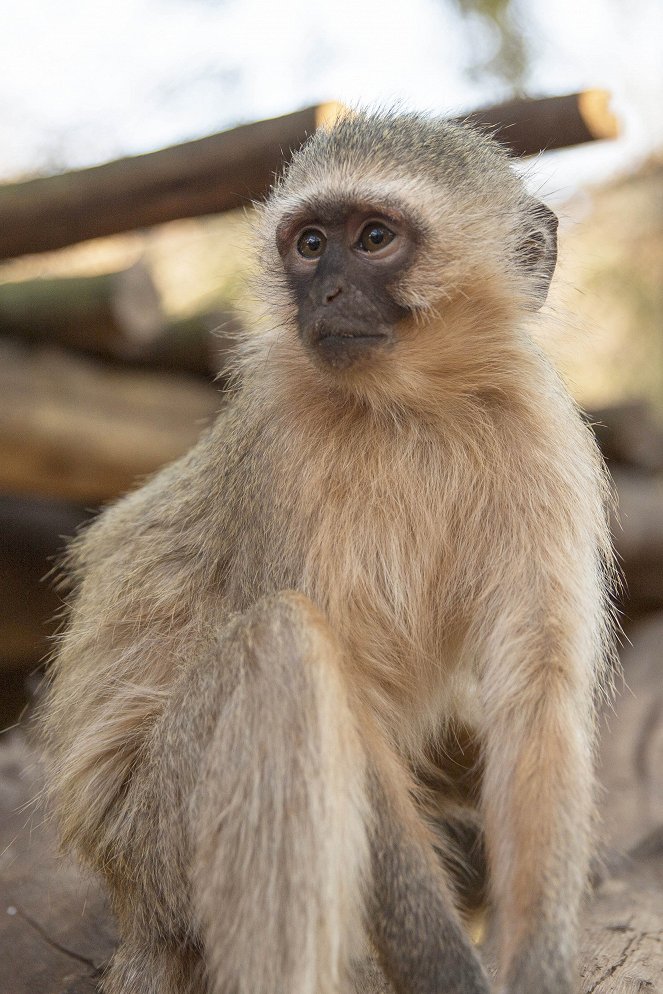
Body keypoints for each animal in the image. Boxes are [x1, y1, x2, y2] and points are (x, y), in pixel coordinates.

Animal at [41, 110, 616, 992]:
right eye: (309, 245)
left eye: (373, 238)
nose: (327, 294)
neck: (415, 411)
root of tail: (129, 902)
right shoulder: (284, 447)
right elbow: (348, 696)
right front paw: (449, 971)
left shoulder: (539, 433)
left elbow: (536, 690)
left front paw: (540, 966)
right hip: (157, 843)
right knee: (281, 645)